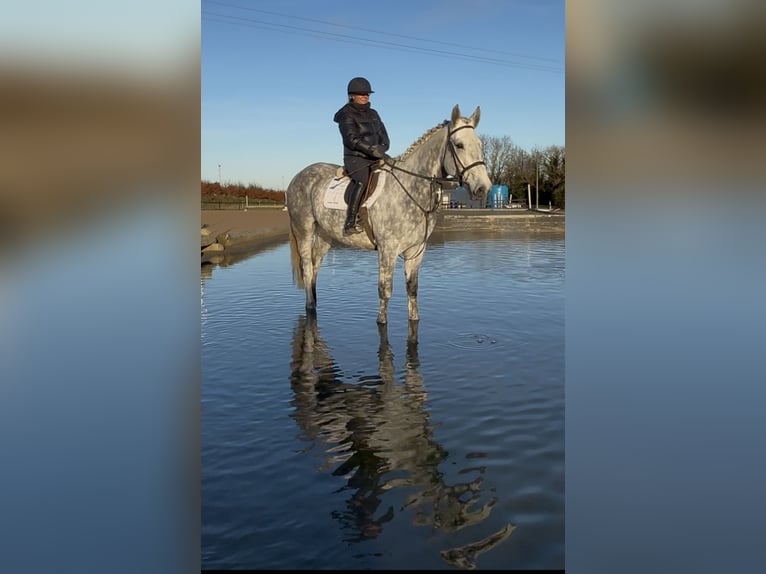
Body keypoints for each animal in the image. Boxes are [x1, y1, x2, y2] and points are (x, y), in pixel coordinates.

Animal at [287, 104, 492, 325]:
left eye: (479, 144)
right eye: (459, 145)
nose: (483, 188)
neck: (411, 189)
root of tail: (298, 176)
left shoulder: (416, 250)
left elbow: (412, 289)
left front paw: (414, 319)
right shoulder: (388, 250)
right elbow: (384, 292)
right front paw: (381, 322)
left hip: (325, 235)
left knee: (315, 265)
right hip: (304, 230)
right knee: (307, 267)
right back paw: (310, 306)